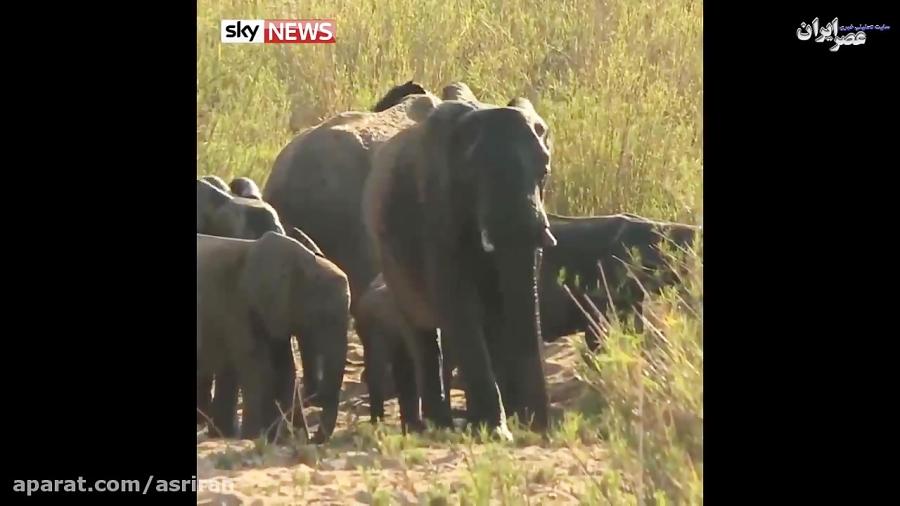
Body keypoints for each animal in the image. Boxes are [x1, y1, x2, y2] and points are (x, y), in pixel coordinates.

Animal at [197, 232, 352, 442]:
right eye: (321, 317)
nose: (313, 439)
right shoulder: (239, 307)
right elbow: (260, 368)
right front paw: (254, 437)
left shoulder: (277, 314)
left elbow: (286, 368)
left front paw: (283, 438)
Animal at [362, 97, 560, 436]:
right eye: (472, 178)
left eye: (544, 170)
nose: (541, 430)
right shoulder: (436, 209)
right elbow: (459, 302)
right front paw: (497, 431)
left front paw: (518, 425)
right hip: (389, 258)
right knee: (424, 336)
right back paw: (439, 424)